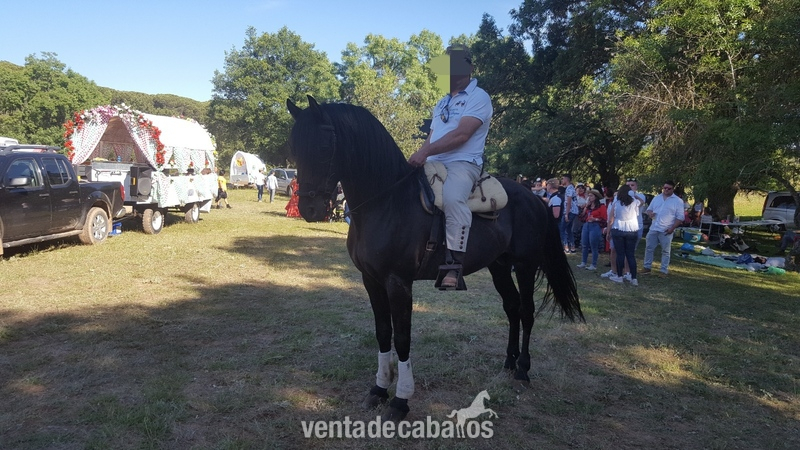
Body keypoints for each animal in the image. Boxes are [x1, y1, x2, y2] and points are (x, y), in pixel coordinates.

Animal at [286, 95, 584, 422]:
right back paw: (508, 362)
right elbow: (383, 333)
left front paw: (400, 400)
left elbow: (402, 338)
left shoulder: (398, 283)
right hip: (499, 266)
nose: (309, 209)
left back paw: (522, 371)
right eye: (294, 148)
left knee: (527, 311)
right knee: (512, 307)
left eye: (323, 147)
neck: (387, 201)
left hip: (525, 265)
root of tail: (535, 199)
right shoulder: (371, 281)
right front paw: (379, 389)